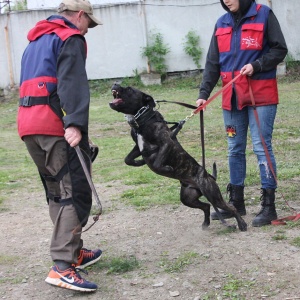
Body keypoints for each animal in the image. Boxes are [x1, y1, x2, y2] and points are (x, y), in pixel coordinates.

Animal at [109, 84, 247, 232]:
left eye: (129, 89)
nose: (115, 84)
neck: (142, 121)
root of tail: (208, 176)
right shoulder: (138, 146)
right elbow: (127, 159)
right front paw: (140, 162)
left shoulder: (166, 142)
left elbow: (157, 163)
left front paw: (166, 168)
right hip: (188, 198)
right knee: (206, 206)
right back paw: (206, 223)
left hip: (212, 195)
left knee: (230, 207)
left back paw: (242, 224)